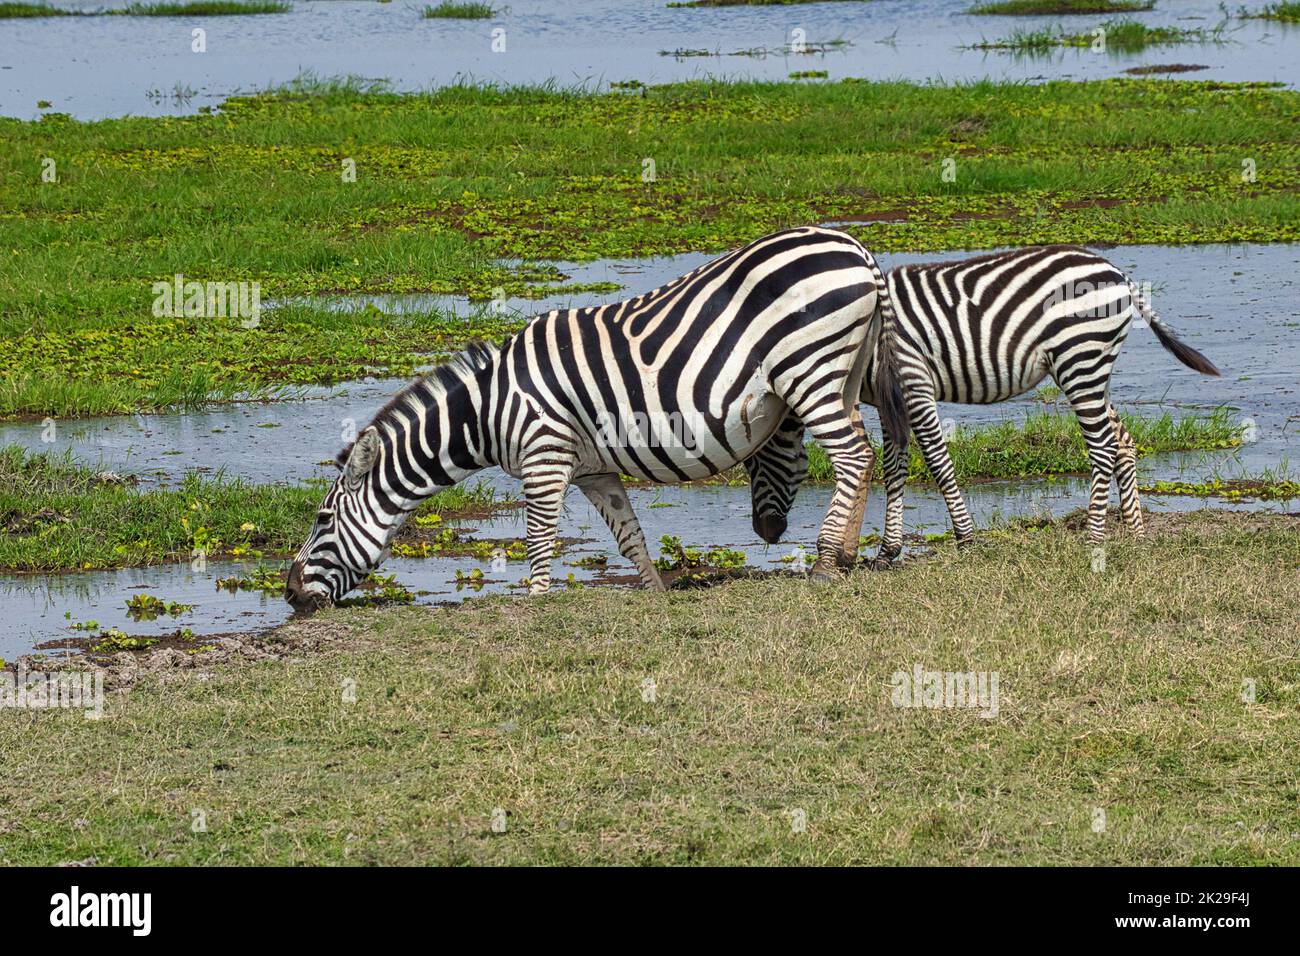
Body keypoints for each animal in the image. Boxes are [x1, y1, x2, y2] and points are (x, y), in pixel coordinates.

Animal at [288, 227, 909, 608]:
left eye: (321, 520)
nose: (289, 593)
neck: (490, 410)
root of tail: (857, 249)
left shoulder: (543, 457)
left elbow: (540, 540)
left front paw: (536, 603)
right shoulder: (593, 469)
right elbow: (630, 537)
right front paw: (657, 595)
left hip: (811, 367)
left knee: (854, 454)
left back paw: (827, 562)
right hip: (844, 373)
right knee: (865, 455)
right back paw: (846, 555)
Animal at [748, 243, 1222, 564]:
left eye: (753, 463)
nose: (765, 533)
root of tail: (1118, 273)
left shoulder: (914, 380)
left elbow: (937, 461)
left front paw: (965, 539)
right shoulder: (890, 401)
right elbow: (894, 466)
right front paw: (887, 551)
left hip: (1079, 358)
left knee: (1103, 446)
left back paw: (1093, 537)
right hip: (1090, 366)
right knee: (1121, 438)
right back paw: (1135, 531)